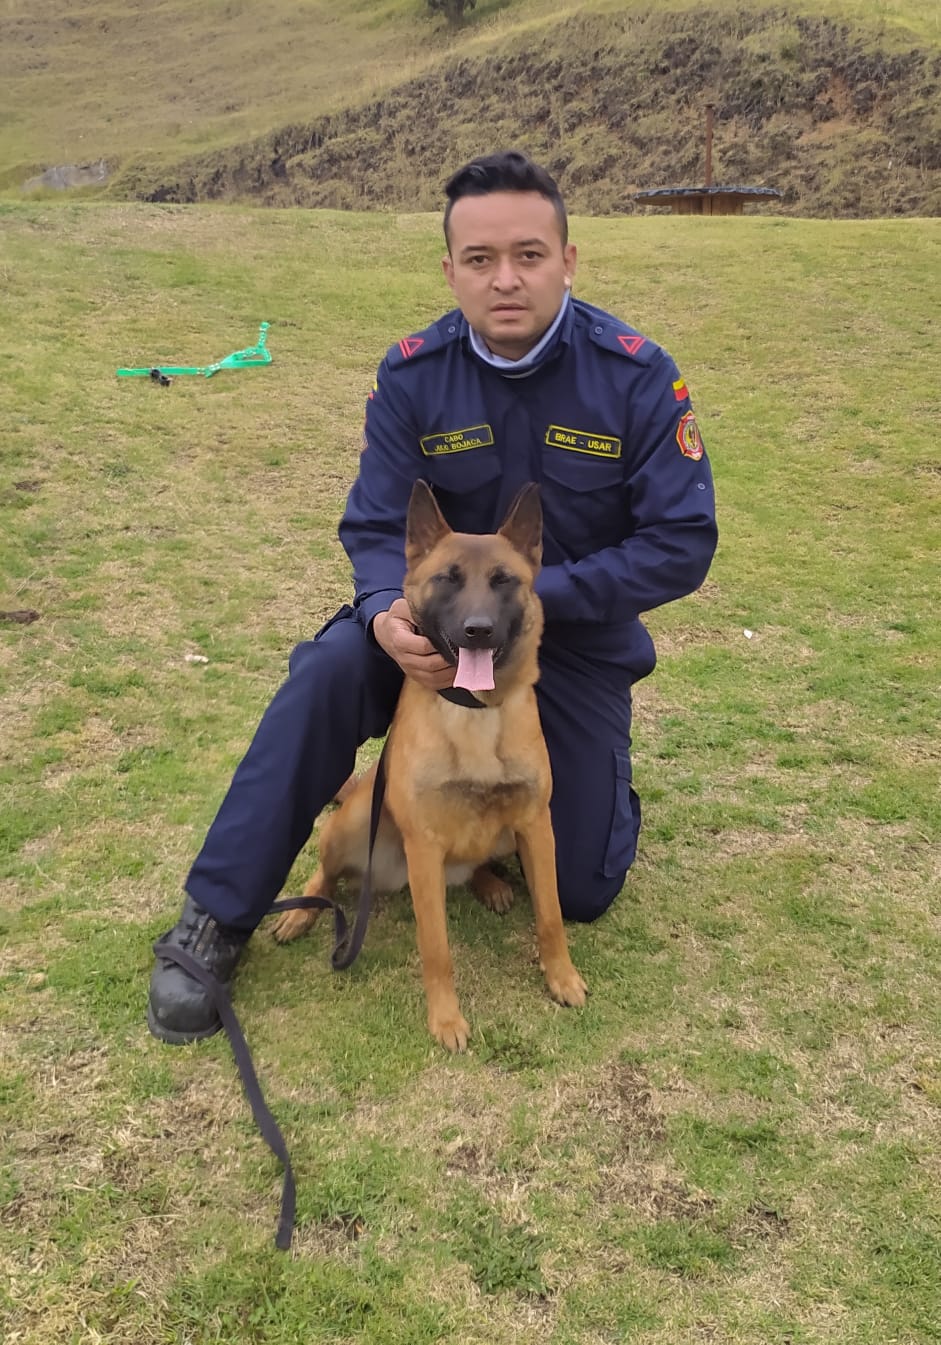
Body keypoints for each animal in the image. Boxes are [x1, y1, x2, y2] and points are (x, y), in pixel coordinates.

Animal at [268, 481, 583, 1049]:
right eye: (448, 579)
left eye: (504, 581)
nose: (478, 630)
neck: (475, 712)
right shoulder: (425, 847)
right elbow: (436, 948)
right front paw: (446, 1019)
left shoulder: (536, 826)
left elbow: (550, 915)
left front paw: (561, 976)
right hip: (355, 823)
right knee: (326, 874)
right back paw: (302, 912)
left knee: (479, 862)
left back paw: (490, 883)